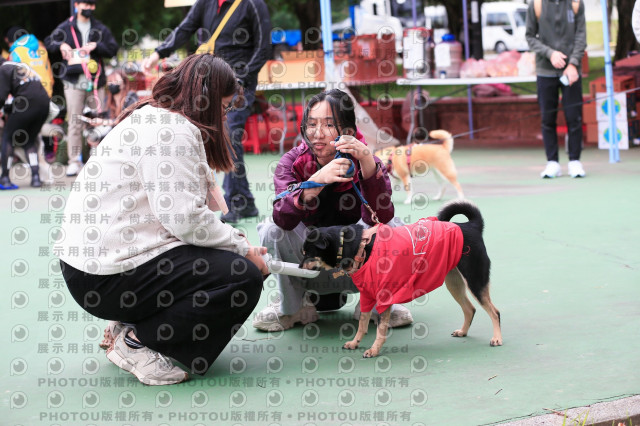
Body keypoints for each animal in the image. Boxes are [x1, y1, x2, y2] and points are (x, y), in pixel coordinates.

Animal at [300, 200, 501, 358]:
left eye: (308, 254)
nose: (299, 268)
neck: (359, 246)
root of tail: (471, 226)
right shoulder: (367, 295)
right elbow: (362, 324)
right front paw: (355, 342)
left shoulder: (384, 297)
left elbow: (380, 329)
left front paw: (374, 350)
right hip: (454, 282)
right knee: (470, 309)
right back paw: (463, 332)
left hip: (475, 279)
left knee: (494, 311)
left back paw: (497, 338)